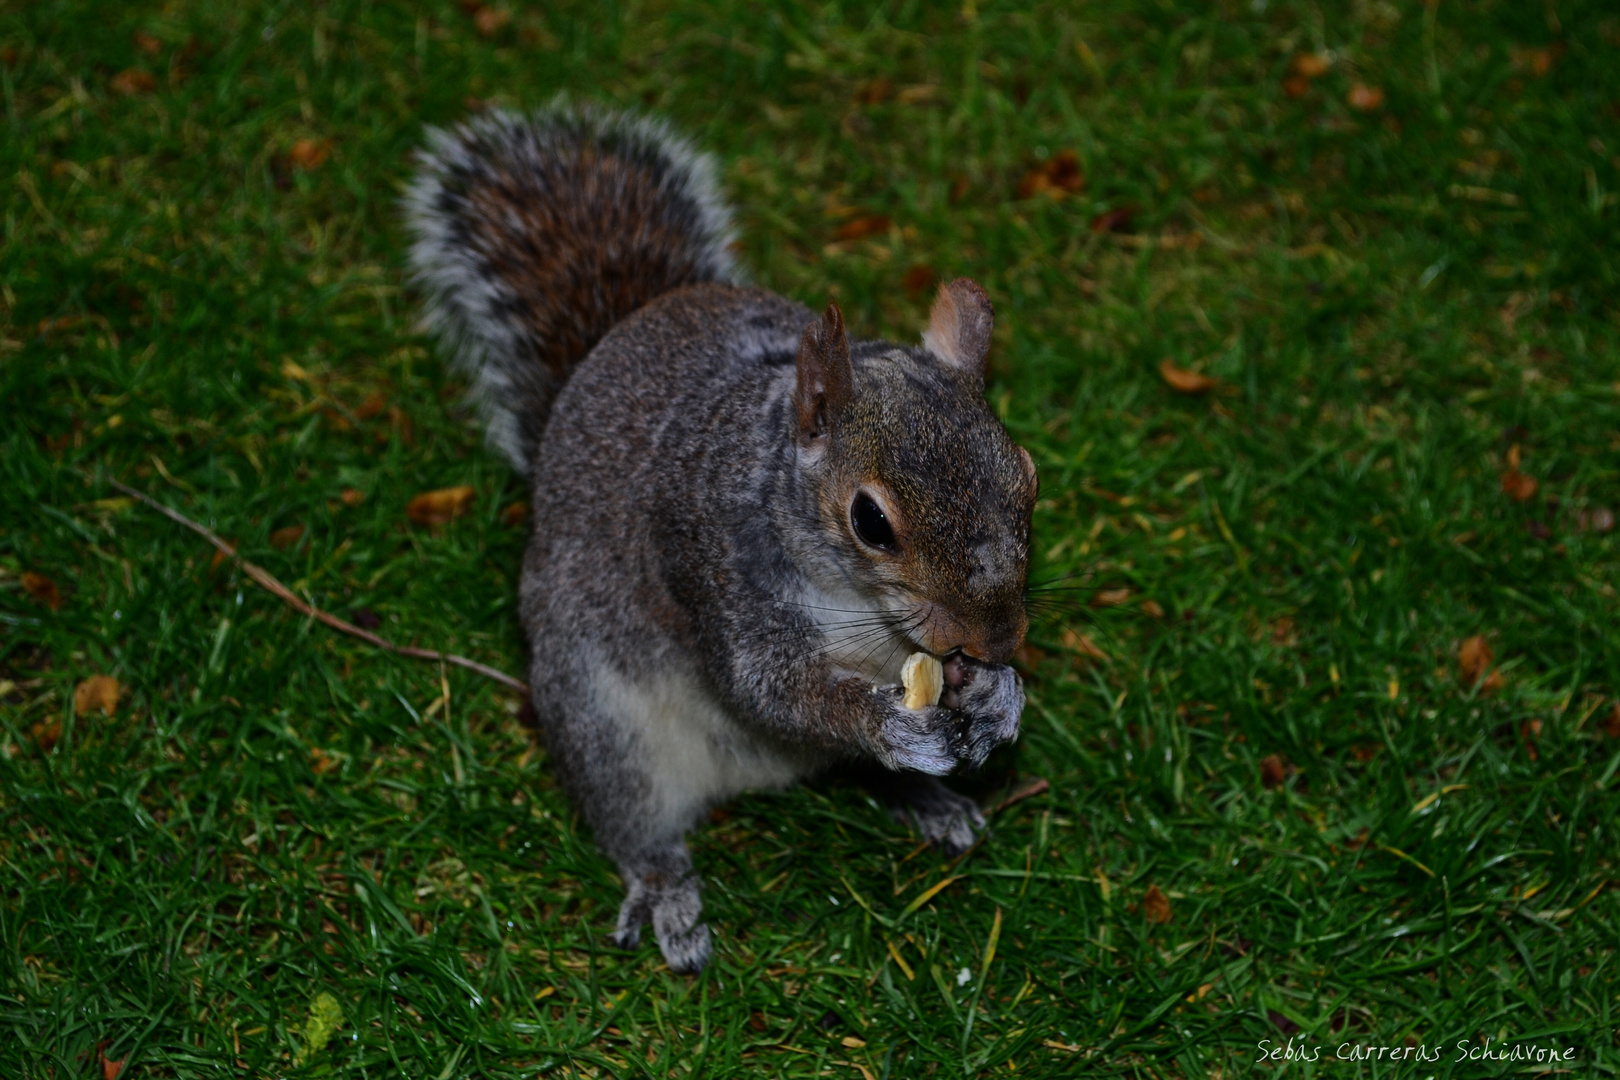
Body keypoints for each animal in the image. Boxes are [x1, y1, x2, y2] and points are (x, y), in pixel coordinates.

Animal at [408, 105, 1036, 977]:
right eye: (871, 522)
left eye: (1027, 472)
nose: (1000, 638)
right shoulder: (710, 560)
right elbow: (764, 685)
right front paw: (893, 722)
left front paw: (999, 696)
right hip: (603, 723)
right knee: (635, 824)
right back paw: (666, 890)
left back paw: (928, 799)